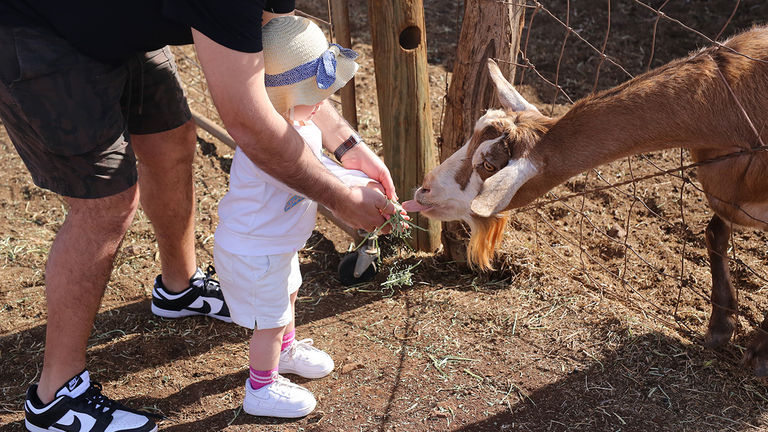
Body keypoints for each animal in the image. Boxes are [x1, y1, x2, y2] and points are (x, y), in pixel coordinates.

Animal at [402, 25, 768, 372]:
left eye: (489, 165)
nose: (424, 189)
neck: (727, 109)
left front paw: (759, 352)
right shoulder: (724, 191)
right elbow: (714, 233)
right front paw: (720, 328)